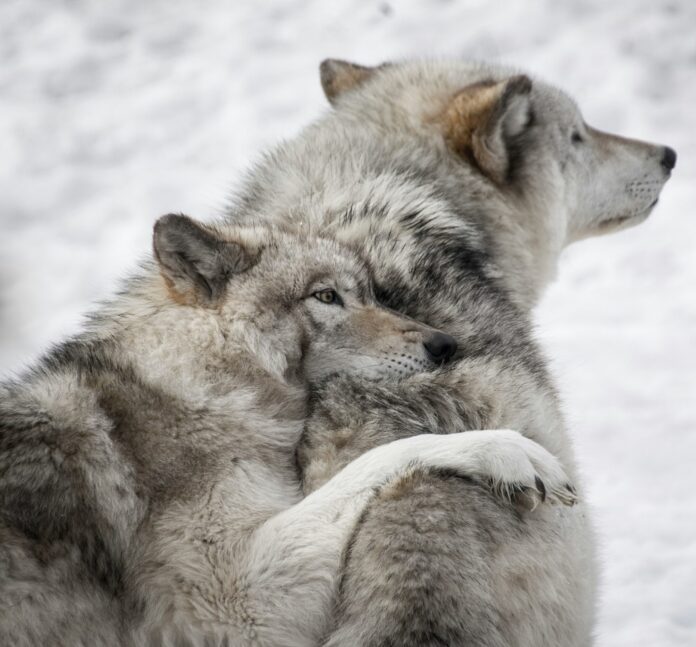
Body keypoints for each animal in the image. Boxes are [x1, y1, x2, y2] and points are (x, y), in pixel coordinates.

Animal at [0, 214, 576, 646]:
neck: (198, 383)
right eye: (326, 296)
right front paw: (508, 451)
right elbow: (389, 454)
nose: (444, 345)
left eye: (371, 293)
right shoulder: (236, 606)